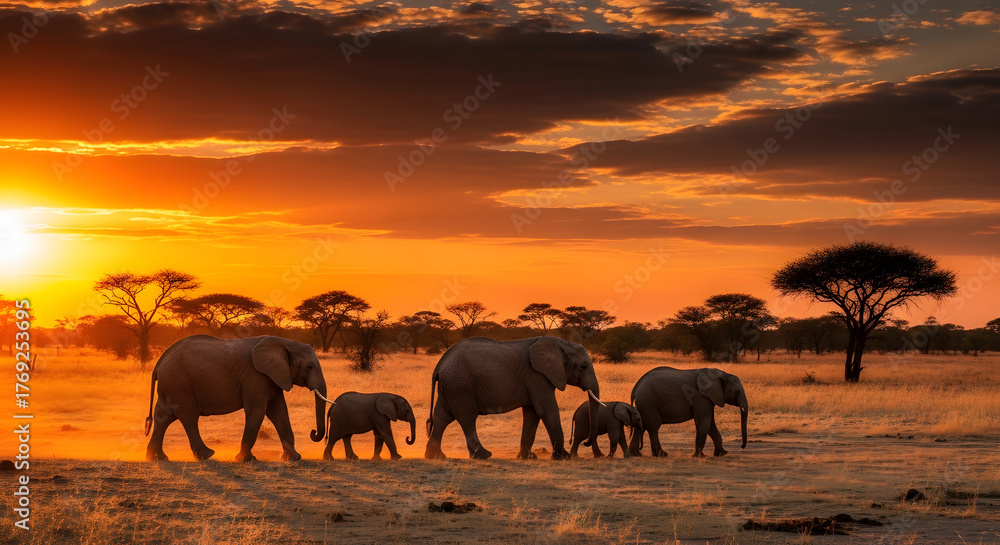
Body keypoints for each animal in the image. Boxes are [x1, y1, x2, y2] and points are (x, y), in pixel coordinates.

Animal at [144, 335, 331, 462]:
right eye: (309, 367)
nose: (313, 432)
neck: (286, 342)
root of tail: (159, 363)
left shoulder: (272, 377)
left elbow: (279, 412)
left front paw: (293, 458)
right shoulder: (255, 376)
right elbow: (257, 410)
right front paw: (246, 459)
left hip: (172, 384)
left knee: (163, 416)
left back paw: (157, 458)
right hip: (180, 383)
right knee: (188, 416)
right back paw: (207, 455)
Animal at [425, 336, 603, 460]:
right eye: (583, 367)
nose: (587, 442)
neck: (563, 343)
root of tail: (439, 365)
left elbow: (532, 413)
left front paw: (527, 457)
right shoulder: (537, 375)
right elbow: (546, 410)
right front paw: (563, 457)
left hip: (451, 385)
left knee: (442, 417)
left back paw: (436, 456)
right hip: (460, 385)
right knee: (467, 417)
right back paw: (483, 455)